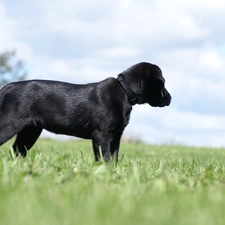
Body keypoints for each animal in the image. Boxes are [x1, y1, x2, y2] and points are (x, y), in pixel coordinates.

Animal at [0, 62, 171, 162]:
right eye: (162, 84)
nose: (170, 98)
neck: (125, 91)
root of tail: (8, 87)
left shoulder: (116, 136)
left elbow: (113, 157)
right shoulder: (102, 135)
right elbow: (105, 157)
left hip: (30, 131)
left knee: (17, 150)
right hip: (11, 123)